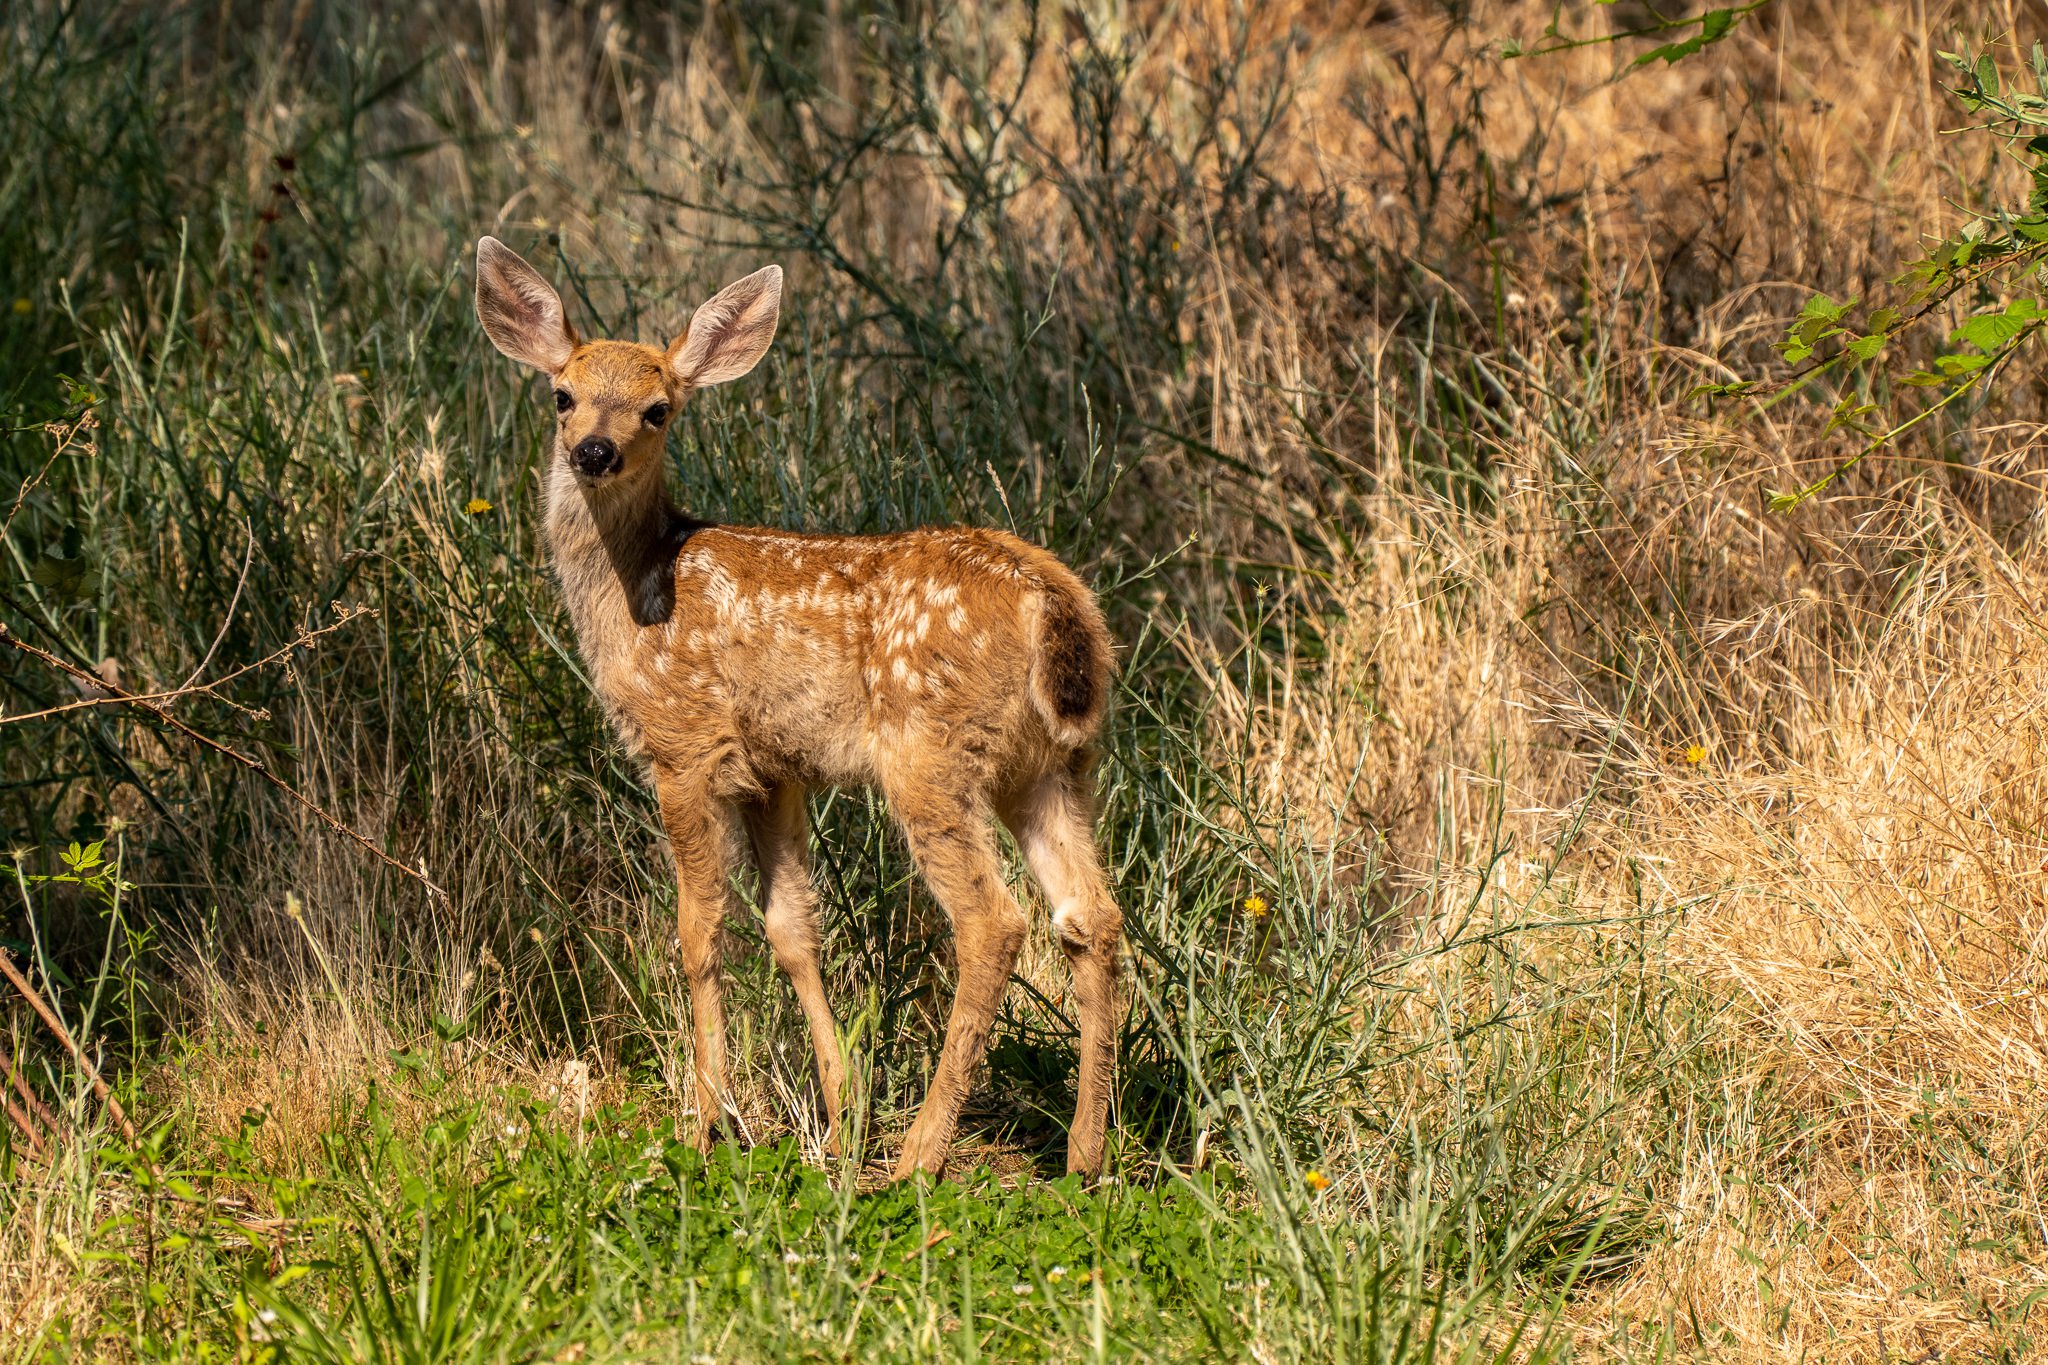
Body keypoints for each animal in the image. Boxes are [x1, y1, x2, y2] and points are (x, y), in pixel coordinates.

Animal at [471, 240, 1130, 1178]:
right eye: (562, 393)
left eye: (658, 409)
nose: (593, 449)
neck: (636, 590)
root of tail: (1055, 602)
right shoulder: (775, 770)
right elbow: (792, 928)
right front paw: (842, 1110)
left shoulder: (686, 745)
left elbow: (700, 929)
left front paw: (706, 1125)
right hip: (1055, 767)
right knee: (1091, 917)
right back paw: (1082, 1156)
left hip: (930, 754)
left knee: (994, 923)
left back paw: (919, 1156)